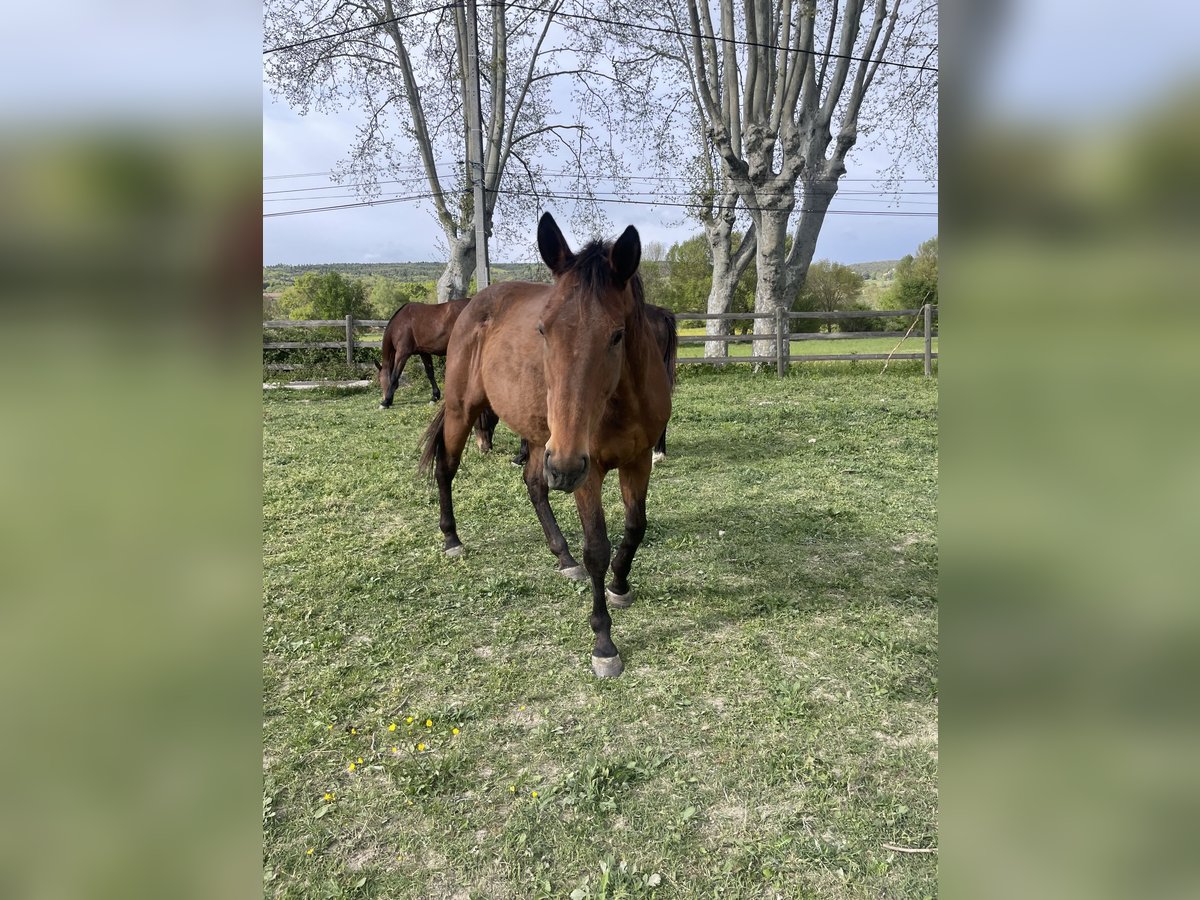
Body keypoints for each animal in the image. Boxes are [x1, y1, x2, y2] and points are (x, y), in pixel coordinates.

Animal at [417, 213, 672, 676]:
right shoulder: (588, 472)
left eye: (617, 334)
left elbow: (635, 527)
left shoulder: (638, 459)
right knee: (447, 467)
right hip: (468, 412)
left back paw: (562, 557)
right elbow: (597, 548)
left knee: (535, 485)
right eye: (543, 329)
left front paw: (620, 584)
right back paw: (452, 539)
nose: (566, 467)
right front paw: (604, 643)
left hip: (542, 441)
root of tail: (474, 305)